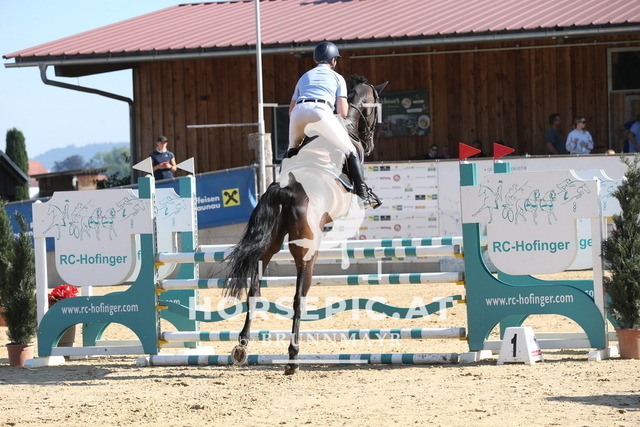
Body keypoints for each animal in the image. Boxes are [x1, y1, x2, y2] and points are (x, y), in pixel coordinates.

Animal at [223, 75, 388, 375]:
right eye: (375, 110)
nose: (370, 144)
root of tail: (285, 190)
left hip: (268, 247)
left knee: (254, 290)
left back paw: (242, 346)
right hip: (307, 254)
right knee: (298, 298)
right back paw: (293, 357)